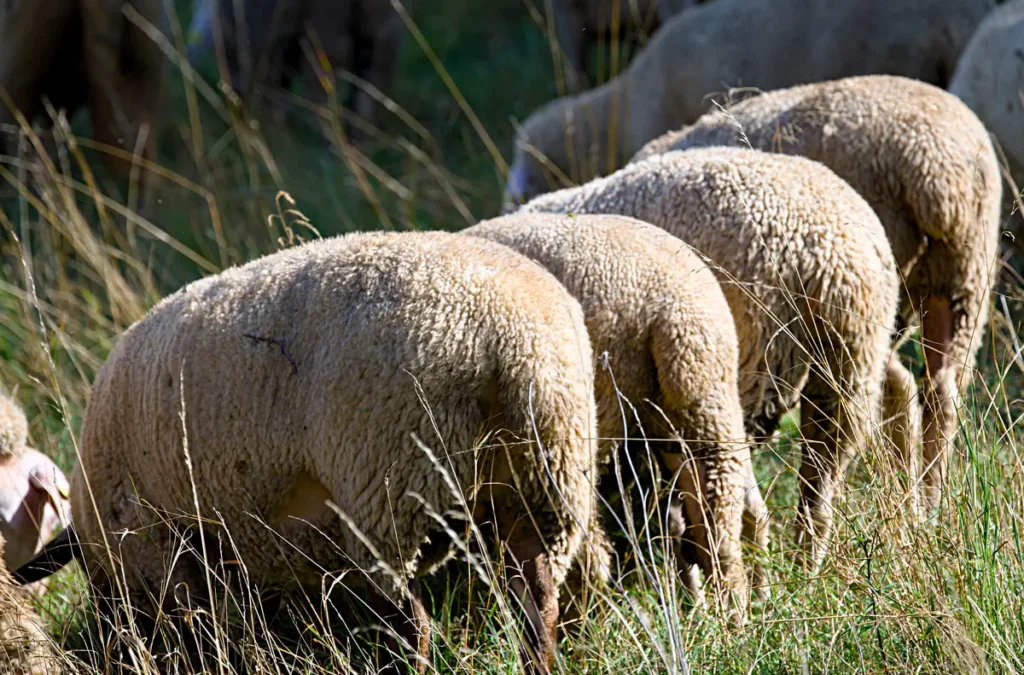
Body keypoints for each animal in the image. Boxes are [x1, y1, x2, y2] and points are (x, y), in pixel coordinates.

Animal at [65, 230, 597, 674]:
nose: (106, 651)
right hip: (543, 481)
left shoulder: (158, 543)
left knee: (414, 624)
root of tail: (515, 340)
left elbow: (198, 630)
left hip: (387, 488)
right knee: (537, 605)